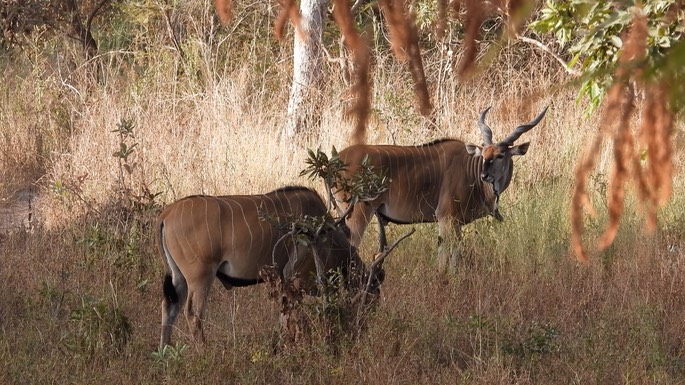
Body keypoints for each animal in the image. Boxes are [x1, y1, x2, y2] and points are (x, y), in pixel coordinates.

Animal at [156, 186, 390, 348]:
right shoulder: (295, 280)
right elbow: (293, 316)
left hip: (178, 277)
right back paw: (203, 352)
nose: (362, 328)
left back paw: (165, 354)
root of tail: (166, 214)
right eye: (372, 296)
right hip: (201, 277)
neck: (325, 233)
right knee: (193, 313)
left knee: (169, 308)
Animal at [334, 105, 548, 268]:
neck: (470, 170)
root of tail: (336, 160)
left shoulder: (455, 223)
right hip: (359, 213)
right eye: (484, 154)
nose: (485, 175)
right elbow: (446, 259)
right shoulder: (446, 218)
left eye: (500, 155)